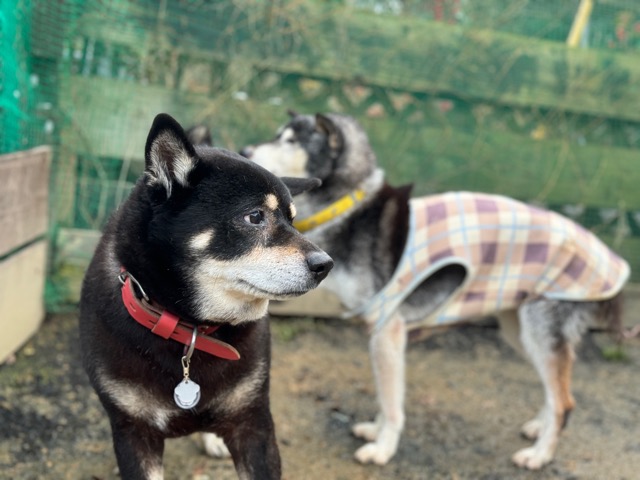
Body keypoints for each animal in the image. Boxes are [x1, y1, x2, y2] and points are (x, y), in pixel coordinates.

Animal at [79, 113, 333, 480]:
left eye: (293, 220)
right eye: (255, 216)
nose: (325, 264)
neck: (191, 328)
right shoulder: (133, 433)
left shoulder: (253, 424)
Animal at [240, 111, 630, 470]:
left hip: (539, 329)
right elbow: (386, 394)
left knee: (564, 401)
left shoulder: (388, 331)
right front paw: (376, 431)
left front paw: (382, 449)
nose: (244, 150)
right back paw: (539, 428)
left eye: (291, 141)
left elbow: (392, 402)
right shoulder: (382, 337)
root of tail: (607, 255)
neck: (350, 207)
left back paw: (538, 455)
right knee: (556, 391)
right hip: (519, 329)